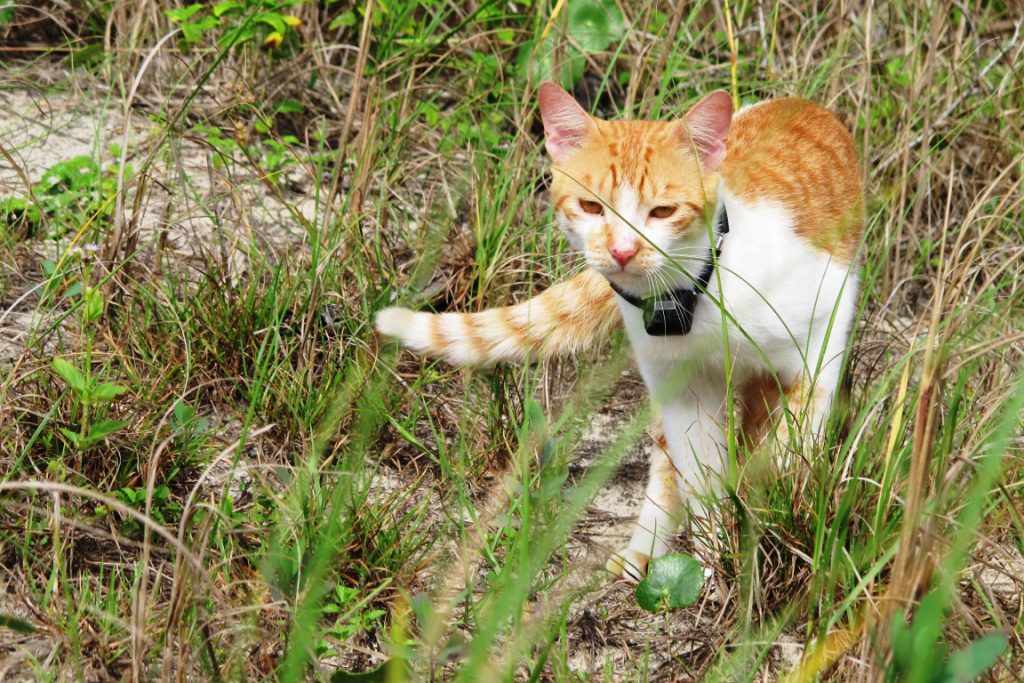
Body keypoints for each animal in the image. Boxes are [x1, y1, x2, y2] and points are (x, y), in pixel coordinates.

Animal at [376, 82, 864, 581]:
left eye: (663, 211)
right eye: (592, 207)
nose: (623, 250)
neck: (693, 295)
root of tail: (802, 103)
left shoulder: (821, 343)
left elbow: (786, 452)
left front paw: (765, 523)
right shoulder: (683, 391)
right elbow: (701, 481)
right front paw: (715, 562)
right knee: (669, 463)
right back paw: (643, 552)